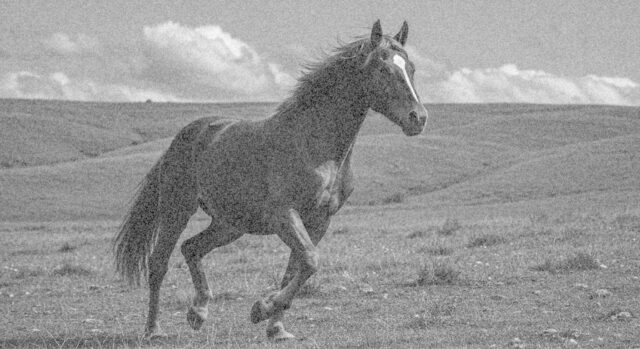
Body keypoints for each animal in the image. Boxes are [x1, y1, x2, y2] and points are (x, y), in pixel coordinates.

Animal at [114, 19, 430, 340]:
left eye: (411, 68)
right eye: (383, 69)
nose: (418, 118)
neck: (314, 146)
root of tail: (186, 136)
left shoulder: (319, 221)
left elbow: (297, 268)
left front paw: (276, 328)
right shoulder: (284, 215)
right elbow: (311, 261)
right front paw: (260, 309)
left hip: (230, 225)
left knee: (191, 248)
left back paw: (198, 313)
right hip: (177, 209)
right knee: (159, 263)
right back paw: (153, 330)